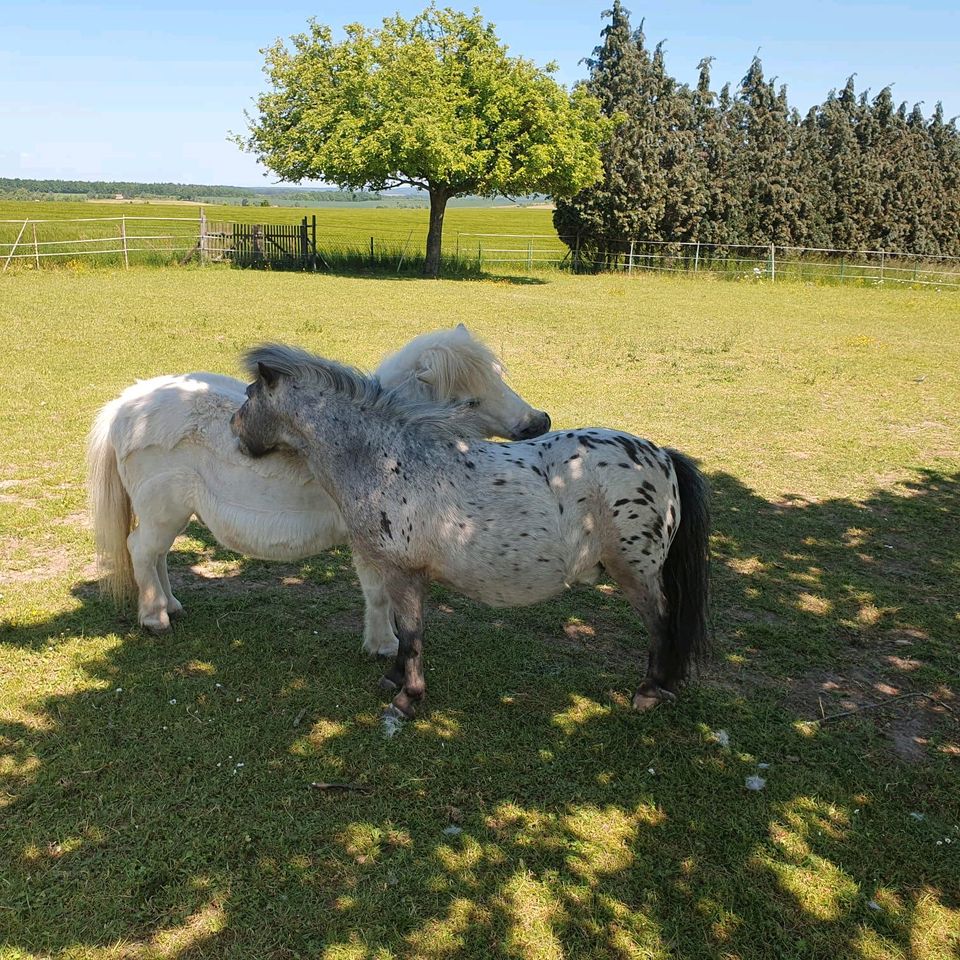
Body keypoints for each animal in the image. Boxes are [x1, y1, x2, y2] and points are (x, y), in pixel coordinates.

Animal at [86, 324, 552, 652]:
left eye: (499, 378)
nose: (539, 422)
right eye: (468, 401)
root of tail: (126, 404)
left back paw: (171, 605)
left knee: (156, 555)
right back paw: (155, 618)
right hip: (162, 511)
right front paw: (383, 645)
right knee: (140, 550)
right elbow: (377, 594)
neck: (376, 446)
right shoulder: (370, 542)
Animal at [232, 344, 712, 720]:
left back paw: (648, 692)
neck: (387, 459)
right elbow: (401, 630)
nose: (237, 436)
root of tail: (661, 456)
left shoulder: (406, 573)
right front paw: (393, 679)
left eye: (249, 396)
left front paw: (407, 698)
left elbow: (412, 634)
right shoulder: (393, 571)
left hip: (636, 573)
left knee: (660, 624)